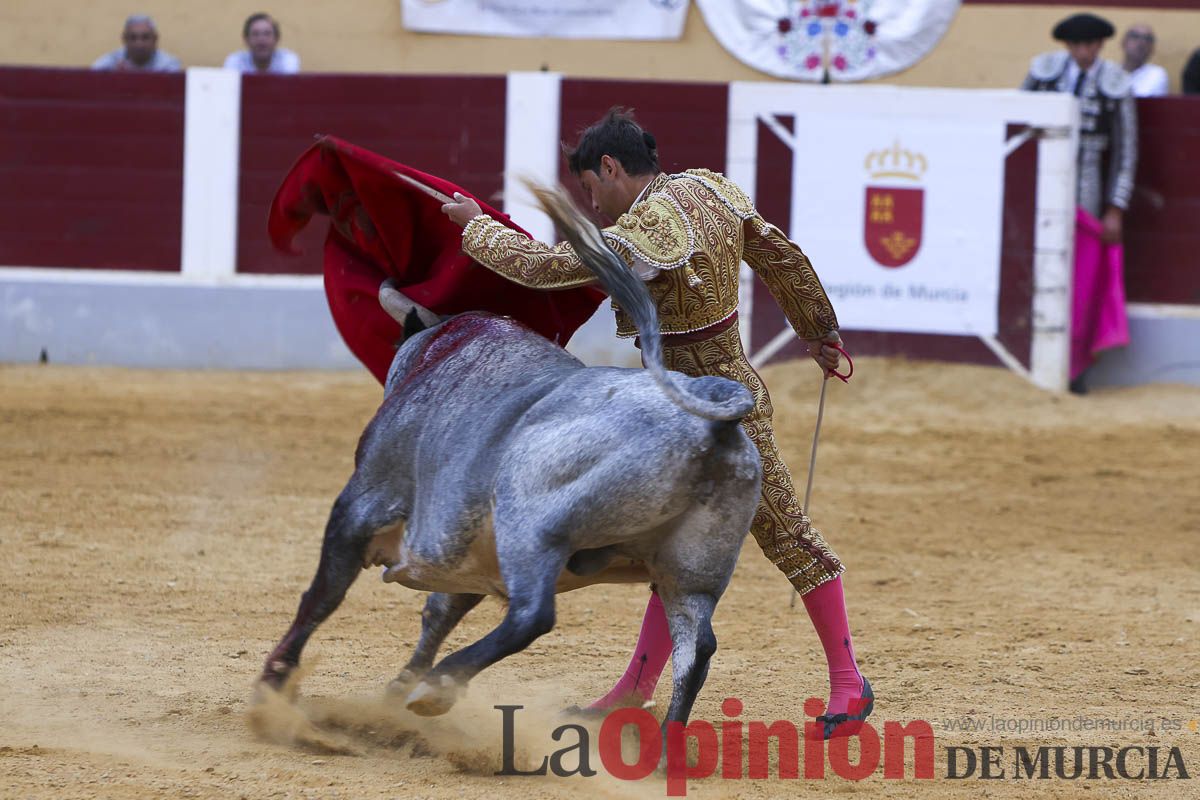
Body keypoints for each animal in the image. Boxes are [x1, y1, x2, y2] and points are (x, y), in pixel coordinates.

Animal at [261, 185, 763, 734]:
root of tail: (712, 415)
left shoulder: (362, 503)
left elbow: (323, 594)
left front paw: (274, 682)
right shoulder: (470, 550)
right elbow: (441, 609)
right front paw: (394, 690)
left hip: (533, 526)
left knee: (533, 615)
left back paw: (438, 687)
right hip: (692, 572)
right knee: (695, 648)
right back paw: (661, 746)